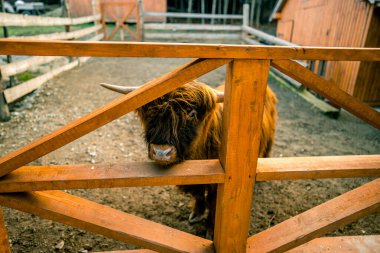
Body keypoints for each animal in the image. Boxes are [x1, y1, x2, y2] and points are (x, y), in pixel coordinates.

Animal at [101, 80, 276, 237]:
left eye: (191, 114)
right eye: (151, 113)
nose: (161, 152)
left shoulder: (219, 182)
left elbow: (213, 203)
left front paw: (210, 229)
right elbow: (198, 195)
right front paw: (197, 214)